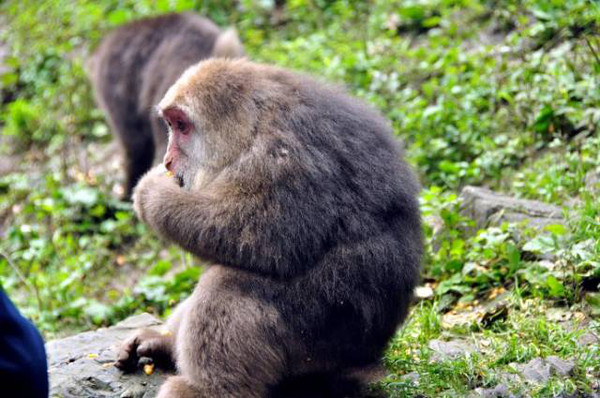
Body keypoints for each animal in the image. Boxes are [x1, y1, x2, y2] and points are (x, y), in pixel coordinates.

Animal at [117, 59, 422, 398]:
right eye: (171, 124)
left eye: (182, 126)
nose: (169, 160)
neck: (254, 124)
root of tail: (368, 358)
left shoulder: (280, 160)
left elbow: (259, 237)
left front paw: (151, 192)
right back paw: (166, 342)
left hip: (321, 342)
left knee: (228, 283)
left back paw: (209, 389)